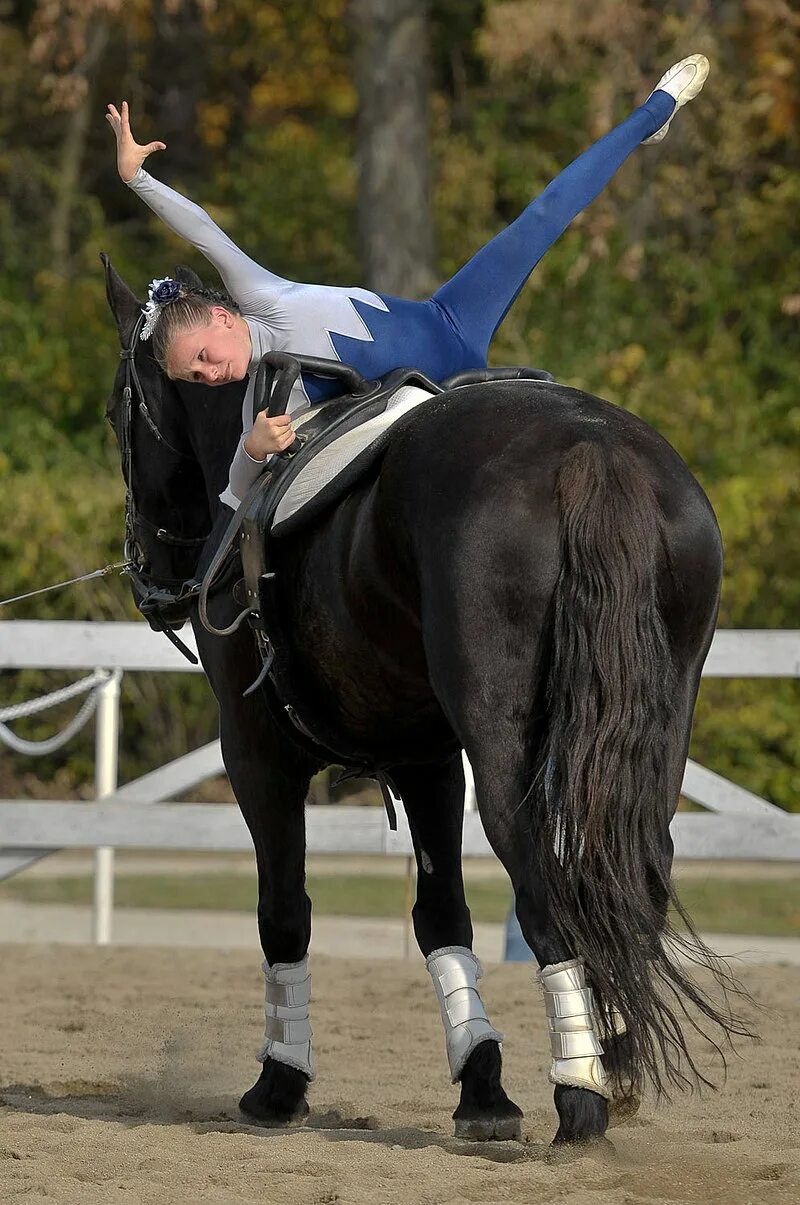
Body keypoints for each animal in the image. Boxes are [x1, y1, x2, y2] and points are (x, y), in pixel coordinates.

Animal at [103, 259, 746, 1142]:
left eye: (116, 414)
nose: (146, 572)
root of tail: (591, 446)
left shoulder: (256, 752)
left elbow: (284, 912)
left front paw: (279, 1082)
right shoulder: (427, 758)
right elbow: (442, 913)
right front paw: (482, 1084)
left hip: (502, 748)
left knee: (547, 883)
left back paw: (580, 1091)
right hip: (653, 730)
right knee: (632, 876)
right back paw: (615, 1062)